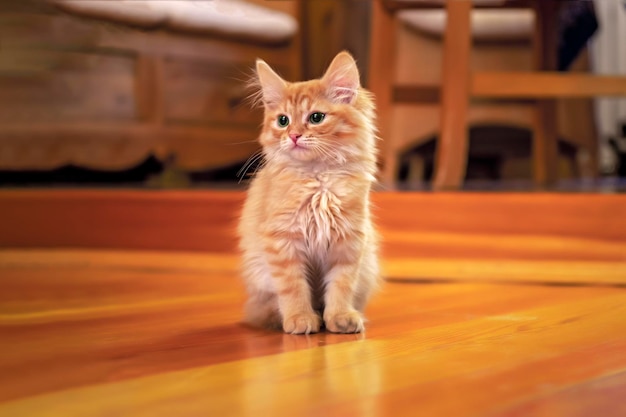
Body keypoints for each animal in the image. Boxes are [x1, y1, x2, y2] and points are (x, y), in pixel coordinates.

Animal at [236, 52, 378, 334]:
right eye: (283, 120)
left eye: (316, 117)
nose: (293, 135)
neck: (318, 180)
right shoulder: (282, 242)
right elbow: (293, 288)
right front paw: (300, 318)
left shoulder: (348, 242)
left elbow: (341, 285)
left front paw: (340, 317)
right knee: (263, 309)